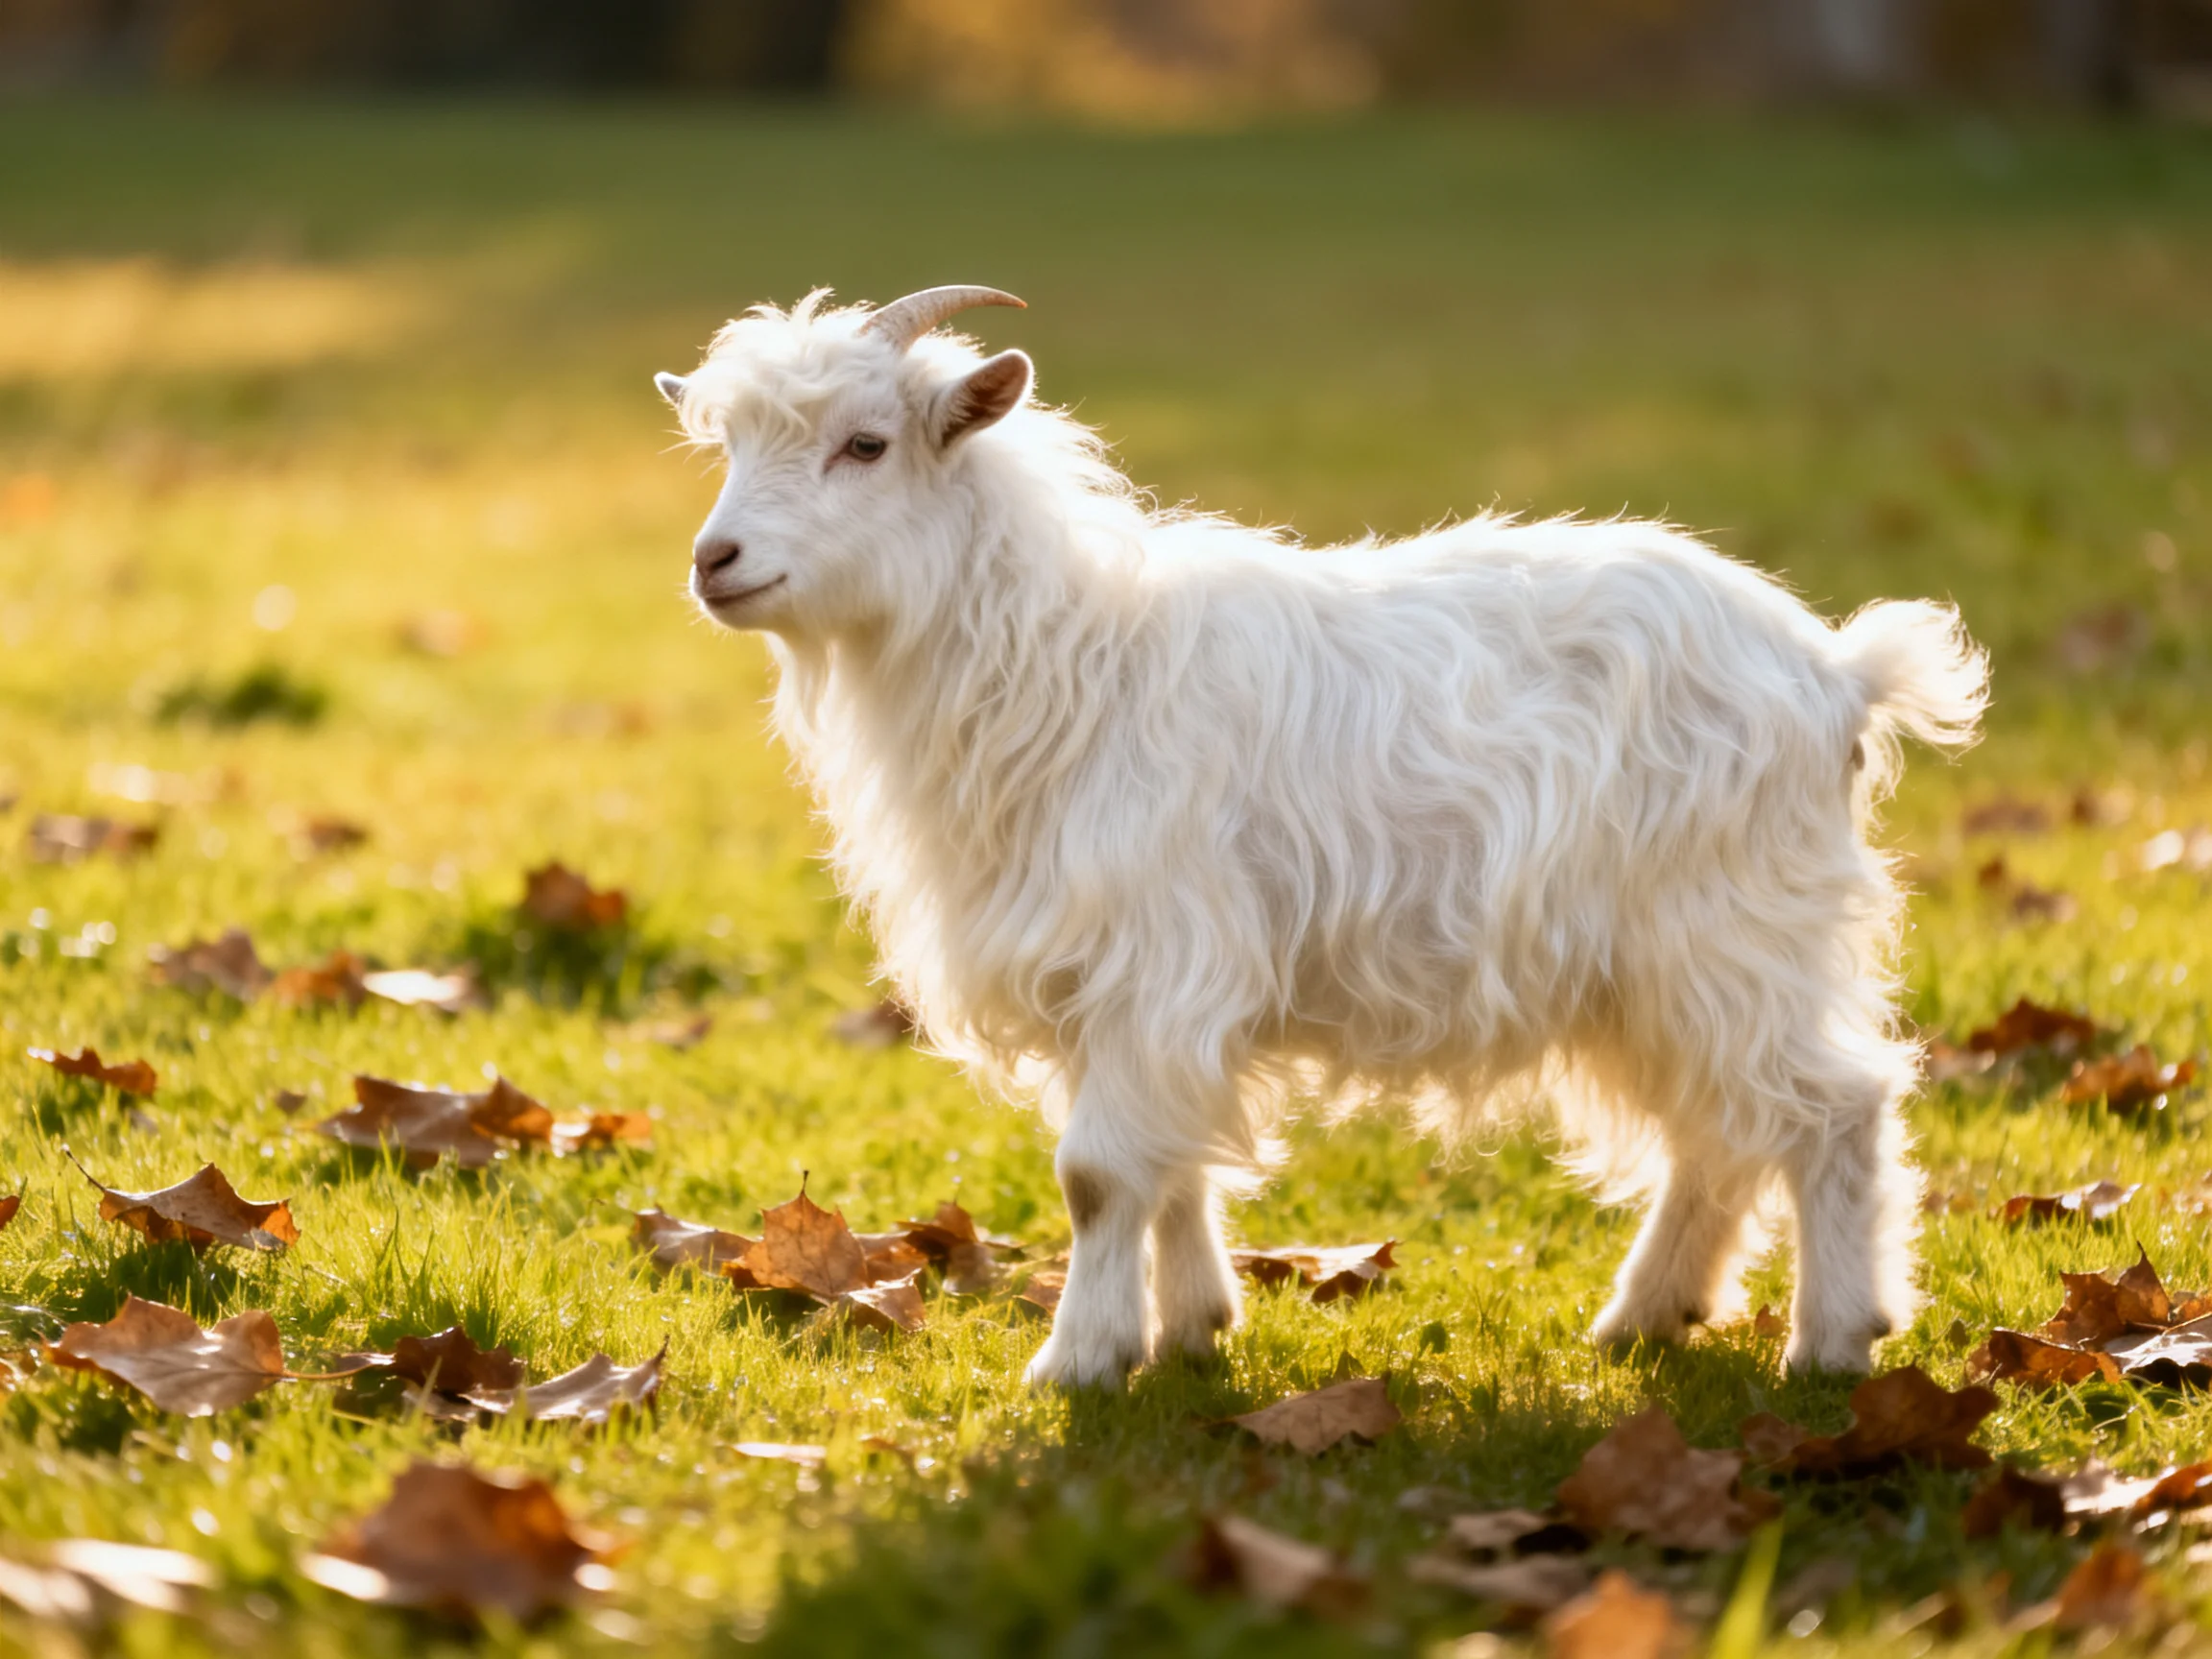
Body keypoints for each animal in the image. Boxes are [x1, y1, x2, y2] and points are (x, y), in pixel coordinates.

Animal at [656, 286, 1989, 1387]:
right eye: (728, 447)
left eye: (865, 444)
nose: (714, 561)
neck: (1063, 661)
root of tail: (1835, 673)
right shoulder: (1127, 984)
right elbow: (1170, 1161)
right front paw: (1191, 1328)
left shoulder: (1158, 951)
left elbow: (1098, 1177)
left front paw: (1076, 1364)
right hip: (1652, 968)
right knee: (1719, 1136)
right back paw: (1644, 1319)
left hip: (1728, 929)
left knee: (1836, 1107)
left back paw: (1833, 1344)